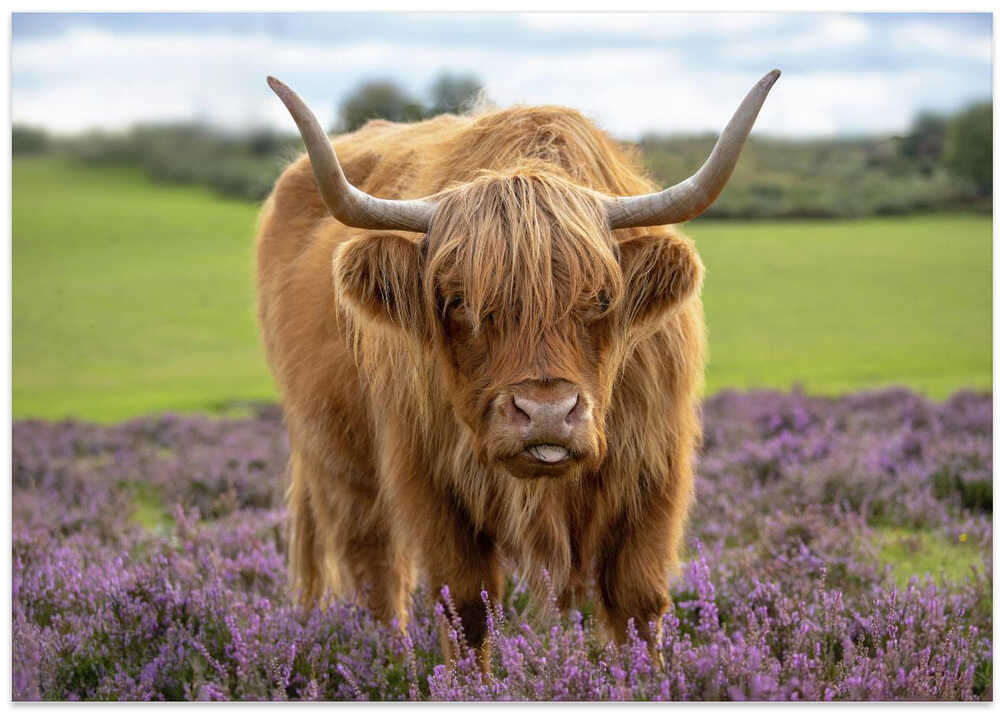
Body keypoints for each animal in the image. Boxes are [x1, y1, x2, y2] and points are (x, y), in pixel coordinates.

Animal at [256, 71, 779, 660]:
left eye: (602, 298)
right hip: (340, 465)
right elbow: (465, 607)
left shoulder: (653, 470)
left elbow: (637, 602)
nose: (547, 414)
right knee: (375, 570)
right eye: (459, 301)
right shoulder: (432, 479)